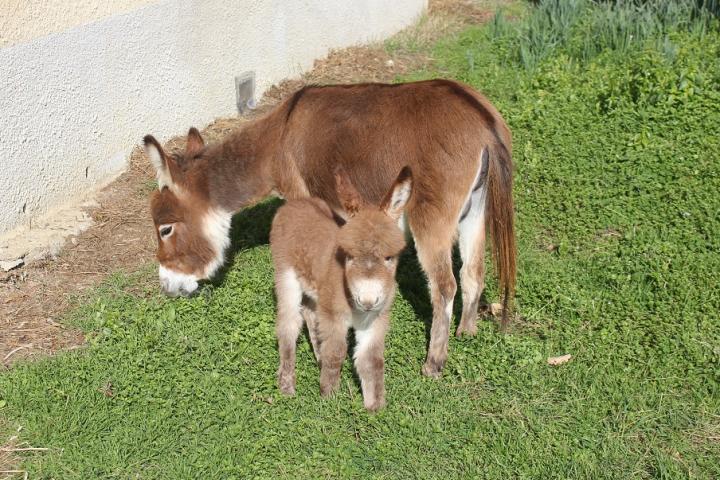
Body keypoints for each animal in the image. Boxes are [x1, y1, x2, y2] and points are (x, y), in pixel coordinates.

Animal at [268, 167, 414, 410]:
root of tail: (295, 203)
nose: (367, 301)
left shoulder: (374, 320)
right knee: (288, 324)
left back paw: (317, 357)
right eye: (350, 256)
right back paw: (286, 388)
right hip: (286, 275)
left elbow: (371, 361)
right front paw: (329, 400)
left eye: (389, 257)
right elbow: (336, 353)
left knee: (309, 313)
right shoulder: (333, 316)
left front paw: (375, 410)